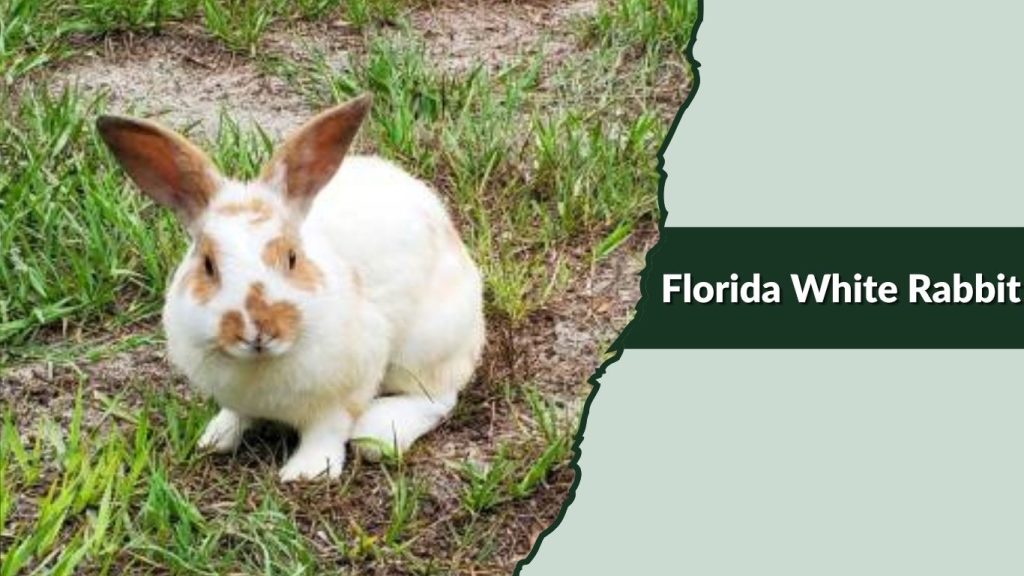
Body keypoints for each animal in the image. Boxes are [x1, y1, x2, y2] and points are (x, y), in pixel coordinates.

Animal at [97, 95, 486, 482]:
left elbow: (326, 431)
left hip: (428, 347)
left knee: (437, 397)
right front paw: (215, 439)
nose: (256, 329)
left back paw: (377, 433)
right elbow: (236, 415)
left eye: (292, 258)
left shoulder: (343, 396)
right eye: (207, 265)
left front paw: (307, 473)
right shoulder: (235, 398)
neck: (262, 363)